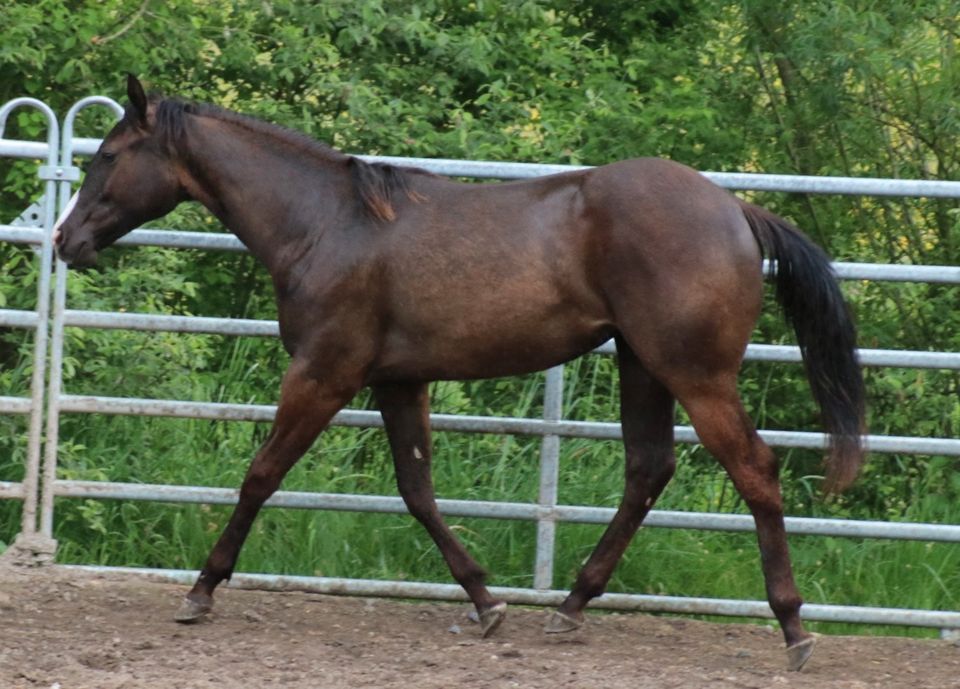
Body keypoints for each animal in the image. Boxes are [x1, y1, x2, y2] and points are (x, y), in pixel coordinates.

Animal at [52, 76, 868, 672]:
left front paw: (200, 591)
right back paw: (570, 608)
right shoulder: (396, 381)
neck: (324, 224)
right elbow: (417, 490)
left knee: (753, 469)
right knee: (648, 468)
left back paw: (794, 629)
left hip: (694, 371)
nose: (66, 240)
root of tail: (735, 210)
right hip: (643, 365)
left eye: (108, 156)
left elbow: (261, 473)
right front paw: (486, 601)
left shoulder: (323, 373)